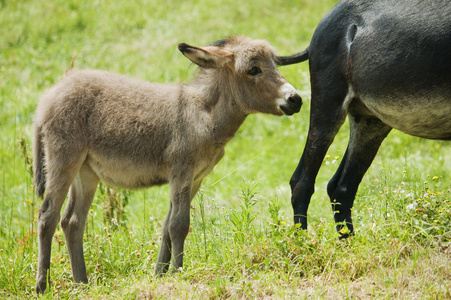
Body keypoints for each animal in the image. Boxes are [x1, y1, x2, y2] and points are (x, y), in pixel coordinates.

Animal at [33, 36, 302, 294]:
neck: (205, 114)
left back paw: (82, 284)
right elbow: (179, 225)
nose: (296, 99)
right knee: (48, 216)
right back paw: (42, 286)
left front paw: (160, 275)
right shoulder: (182, 172)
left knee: (72, 222)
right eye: (254, 70)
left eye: (275, 65)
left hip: (86, 171)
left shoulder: (195, 178)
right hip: (64, 158)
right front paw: (178, 273)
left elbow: (167, 226)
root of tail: (48, 97)